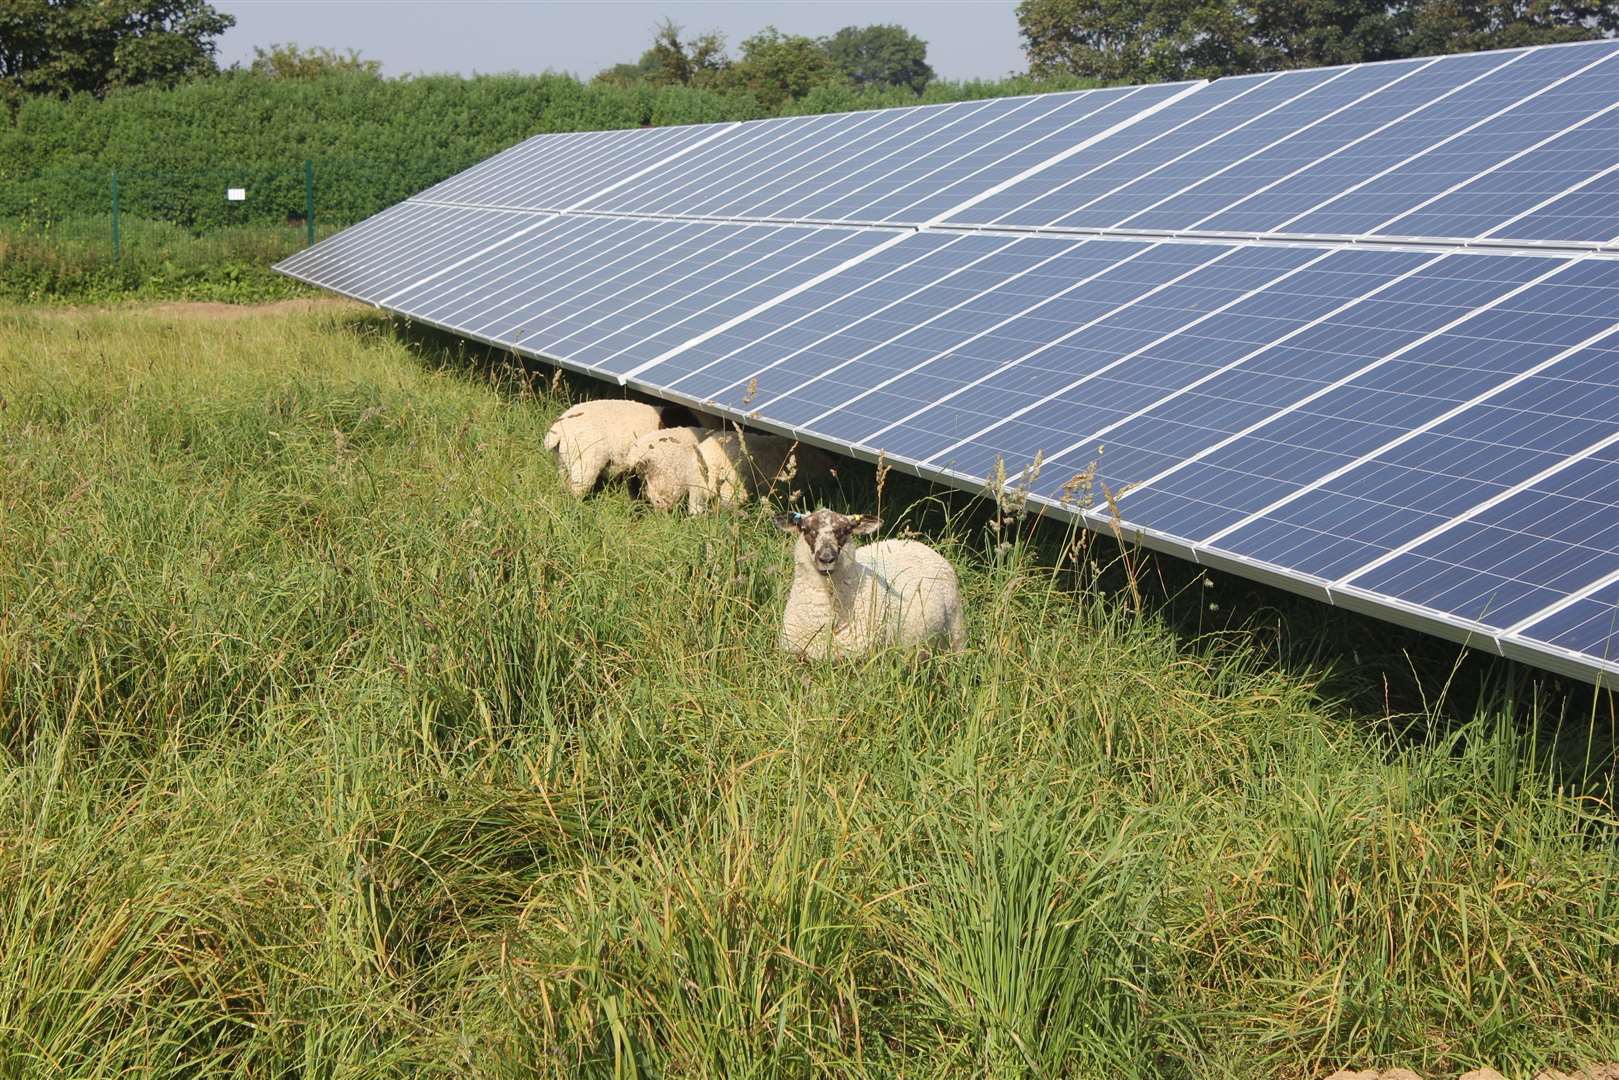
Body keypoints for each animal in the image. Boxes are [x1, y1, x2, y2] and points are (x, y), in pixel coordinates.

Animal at [770, 508, 958, 660]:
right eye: (806, 529)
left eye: (845, 530)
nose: (826, 558)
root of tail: (918, 544)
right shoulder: (794, 654)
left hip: (956, 630)